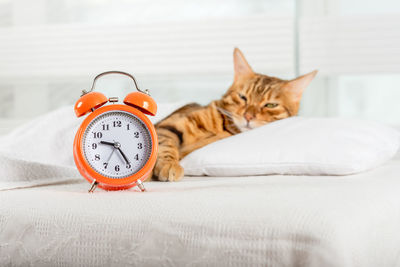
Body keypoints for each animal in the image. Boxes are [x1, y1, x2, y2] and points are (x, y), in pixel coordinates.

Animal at [152, 47, 316, 182]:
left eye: (270, 105)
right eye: (243, 97)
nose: (248, 117)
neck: (223, 128)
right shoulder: (168, 125)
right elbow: (166, 144)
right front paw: (169, 165)